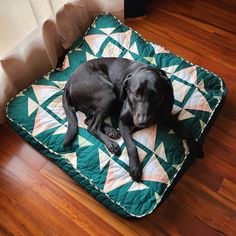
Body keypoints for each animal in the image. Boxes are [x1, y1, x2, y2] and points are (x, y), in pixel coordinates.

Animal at [62, 58, 203, 182]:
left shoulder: (166, 116)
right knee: (92, 126)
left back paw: (110, 130)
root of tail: (68, 81)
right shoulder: (123, 121)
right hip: (108, 93)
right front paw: (135, 168)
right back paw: (111, 144)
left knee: (89, 120)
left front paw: (196, 147)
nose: (142, 122)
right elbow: (131, 146)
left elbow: (186, 130)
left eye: (156, 95)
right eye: (135, 94)